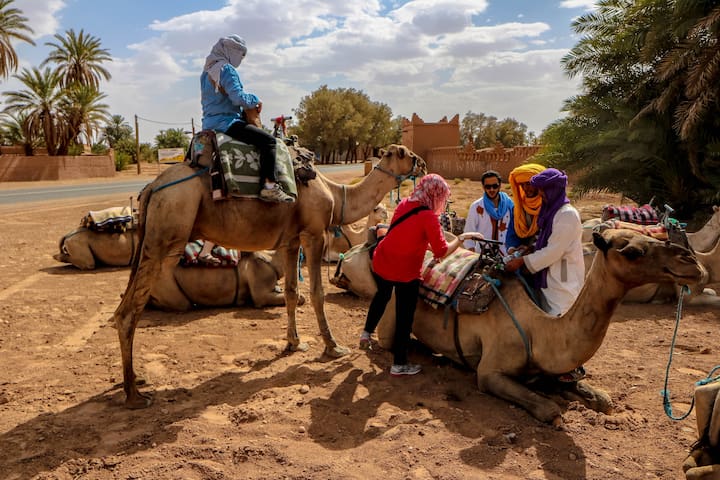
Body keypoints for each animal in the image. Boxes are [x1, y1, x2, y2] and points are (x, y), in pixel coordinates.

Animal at [113, 144, 428, 406]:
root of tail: (152, 187)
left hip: (151, 237)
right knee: (130, 312)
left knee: (122, 308)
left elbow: (291, 292)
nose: (424, 165)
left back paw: (135, 380)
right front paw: (333, 347)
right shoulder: (314, 235)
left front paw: (294, 343)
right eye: (406, 154)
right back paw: (134, 395)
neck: (338, 195)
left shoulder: (290, 241)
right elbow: (316, 293)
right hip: (167, 231)